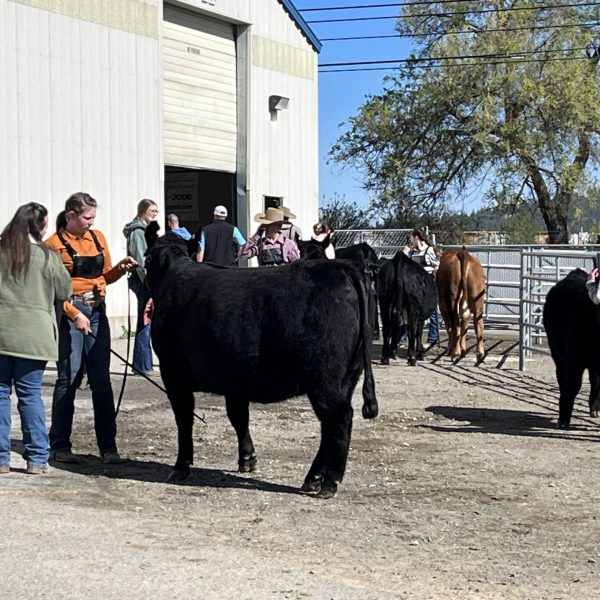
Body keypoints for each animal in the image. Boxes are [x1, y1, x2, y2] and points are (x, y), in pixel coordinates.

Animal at [146, 232, 378, 500]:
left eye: (146, 256)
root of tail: (343, 268)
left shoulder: (173, 372)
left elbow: (184, 419)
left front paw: (180, 467)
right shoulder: (234, 379)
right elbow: (238, 417)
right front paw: (247, 459)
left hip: (325, 379)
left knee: (340, 419)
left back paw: (329, 483)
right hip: (347, 378)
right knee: (328, 426)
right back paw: (312, 478)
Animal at [544, 270, 600, 428]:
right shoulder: (573, 360)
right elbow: (573, 385)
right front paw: (563, 418)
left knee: (594, 381)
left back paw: (594, 409)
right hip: (557, 354)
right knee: (563, 379)